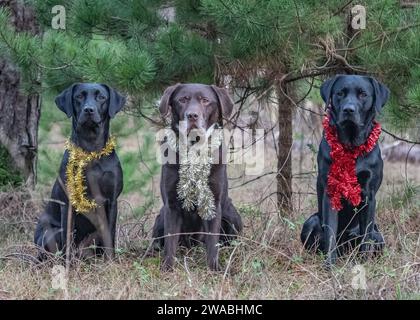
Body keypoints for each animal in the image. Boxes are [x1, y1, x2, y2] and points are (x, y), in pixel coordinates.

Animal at [34, 83, 126, 260]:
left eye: (101, 97)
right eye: (79, 96)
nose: (88, 110)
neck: (91, 152)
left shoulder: (112, 201)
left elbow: (109, 236)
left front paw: (110, 261)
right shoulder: (68, 203)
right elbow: (68, 237)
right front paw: (67, 263)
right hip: (50, 233)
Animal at [151, 82, 243, 270]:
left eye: (205, 100)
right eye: (182, 100)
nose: (192, 115)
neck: (193, 149)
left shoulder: (213, 203)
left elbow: (213, 242)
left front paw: (214, 268)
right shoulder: (171, 205)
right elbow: (170, 242)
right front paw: (167, 268)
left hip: (232, 215)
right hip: (160, 218)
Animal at [300, 74, 388, 266]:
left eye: (363, 94)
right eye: (340, 93)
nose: (349, 110)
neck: (350, 146)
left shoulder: (369, 196)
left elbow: (366, 237)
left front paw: (364, 263)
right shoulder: (331, 193)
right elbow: (331, 233)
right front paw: (330, 265)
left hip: (378, 235)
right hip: (311, 221)